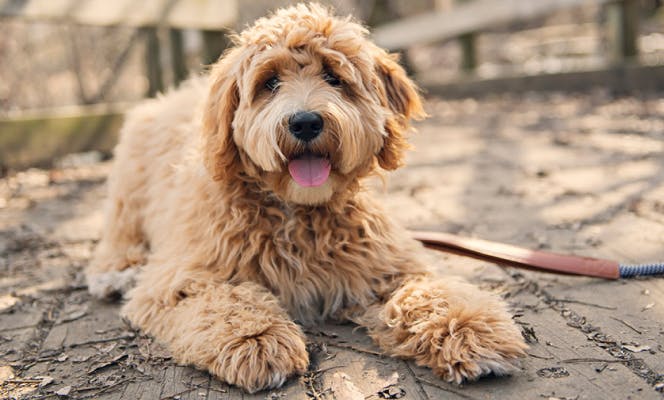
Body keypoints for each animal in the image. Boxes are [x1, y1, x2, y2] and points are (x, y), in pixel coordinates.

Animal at [85, 1, 528, 392]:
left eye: (334, 77)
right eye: (269, 83)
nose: (305, 122)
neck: (298, 211)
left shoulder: (386, 266)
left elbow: (428, 291)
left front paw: (468, 327)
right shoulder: (178, 278)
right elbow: (221, 299)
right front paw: (257, 339)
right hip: (129, 187)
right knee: (119, 233)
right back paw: (115, 271)